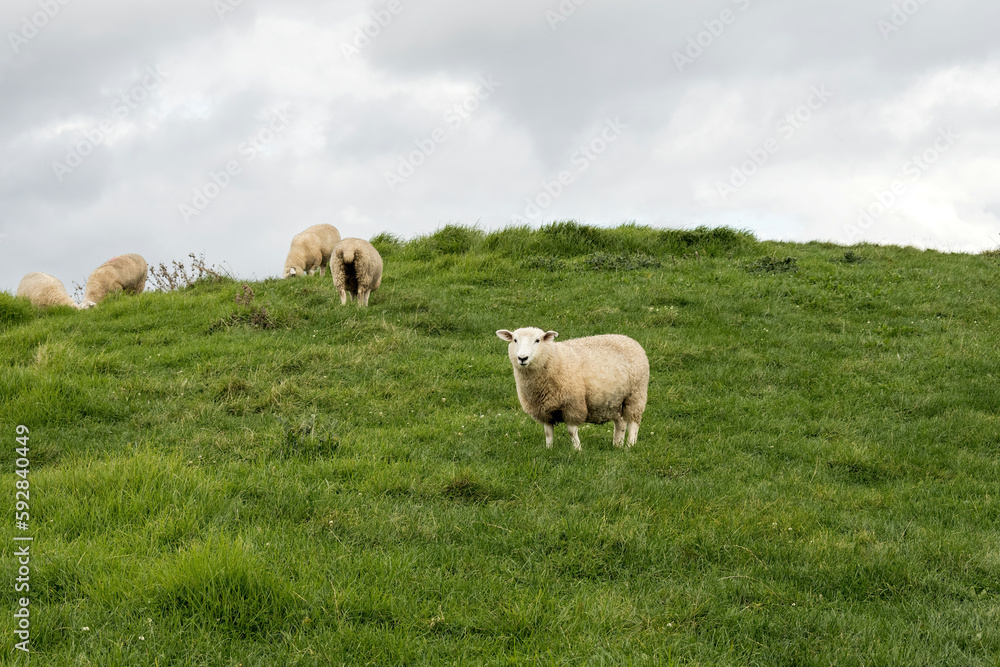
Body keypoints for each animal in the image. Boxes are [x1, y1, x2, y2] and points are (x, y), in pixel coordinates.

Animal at [494, 328, 648, 452]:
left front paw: (577, 450)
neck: (554, 358)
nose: (522, 358)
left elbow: (571, 431)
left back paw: (629, 446)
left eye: (537, 340)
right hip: (615, 401)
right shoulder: (544, 409)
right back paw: (617, 445)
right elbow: (548, 432)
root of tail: (629, 339)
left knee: (633, 423)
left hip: (636, 395)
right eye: (515, 340)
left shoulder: (572, 405)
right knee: (620, 423)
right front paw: (549, 449)